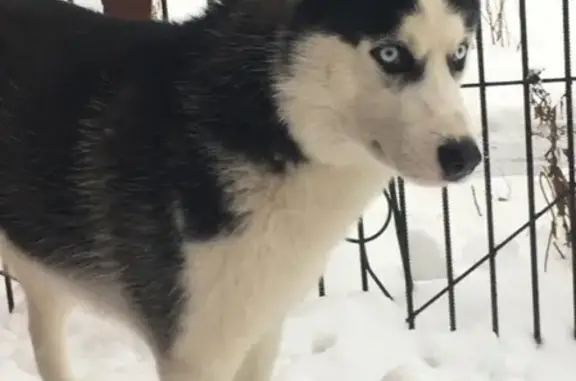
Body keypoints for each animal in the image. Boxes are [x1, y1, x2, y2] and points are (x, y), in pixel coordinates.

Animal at [0, 0, 482, 378]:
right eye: (391, 53)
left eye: (459, 54)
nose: (466, 157)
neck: (266, 117)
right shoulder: (195, 355)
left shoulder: (260, 330)